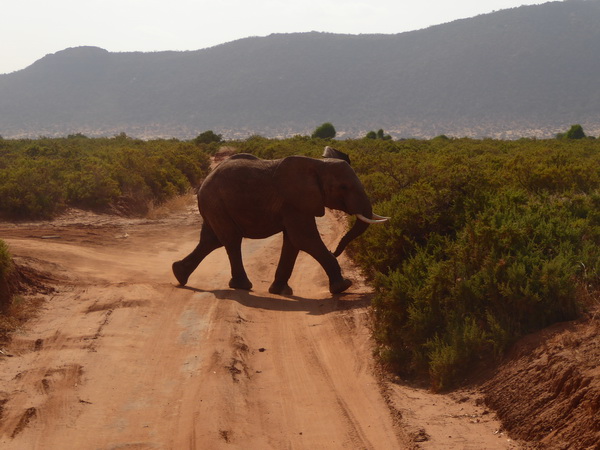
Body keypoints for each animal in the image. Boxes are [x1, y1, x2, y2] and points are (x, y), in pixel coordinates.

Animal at [172, 150, 390, 296]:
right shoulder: (294, 201)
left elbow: (293, 242)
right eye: (343, 187)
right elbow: (304, 239)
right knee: (231, 240)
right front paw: (343, 286)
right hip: (216, 202)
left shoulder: (295, 204)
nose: (336, 250)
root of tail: (204, 181)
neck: (318, 164)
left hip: (215, 205)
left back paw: (179, 274)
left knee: (211, 240)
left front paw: (280, 291)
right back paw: (242, 286)